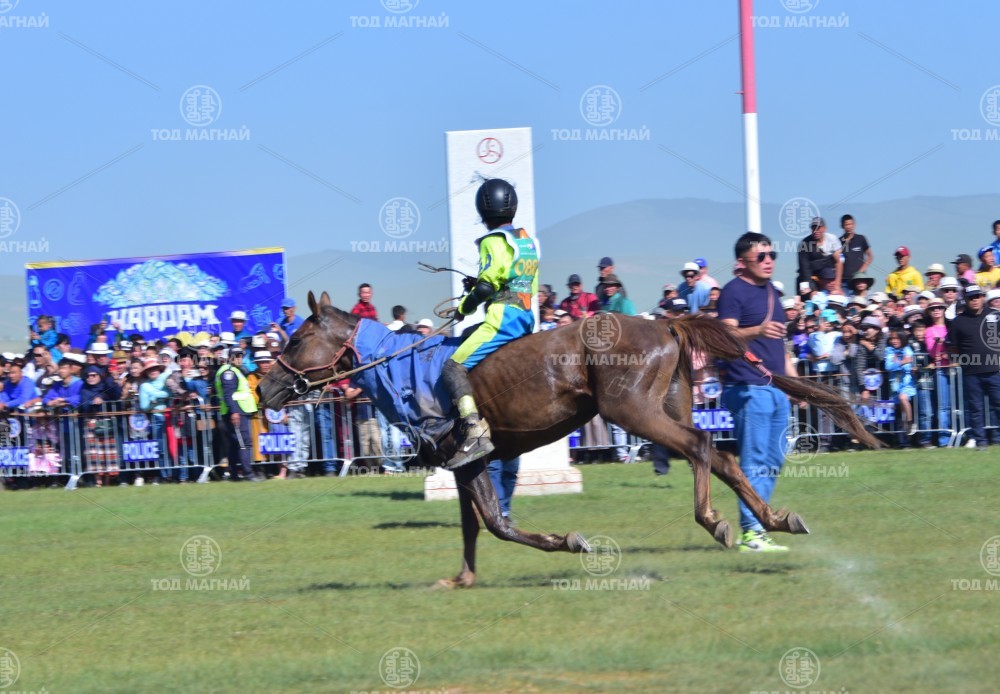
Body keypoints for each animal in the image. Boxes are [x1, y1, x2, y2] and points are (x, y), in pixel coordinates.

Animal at [258, 291, 880, 588]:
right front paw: (462, 578)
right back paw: (775, 520)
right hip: (665, 405)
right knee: (724, 456)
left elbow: (495, 524)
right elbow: (485, 526)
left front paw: (572, 542)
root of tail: (666, 323)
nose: (262, 385)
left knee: (704, 450)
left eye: (297, 337)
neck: (402, 369)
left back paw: (718, 523)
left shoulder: (468, 458)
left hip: (632, 411)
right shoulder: (464, 465)